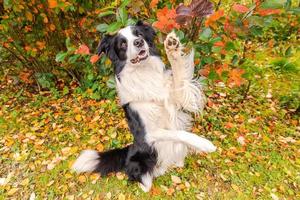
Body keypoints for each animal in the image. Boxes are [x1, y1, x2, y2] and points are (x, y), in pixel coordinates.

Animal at [73, 21, 218, 191]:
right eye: (123, 44)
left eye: (139, 34)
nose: (138, 42)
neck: (144, 73)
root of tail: (130, 149)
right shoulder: (149, 133)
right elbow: (178, 133)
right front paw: (204, 143)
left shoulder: (179, 100)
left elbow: (179, 78)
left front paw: (172, 48)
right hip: (139, 162)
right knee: (141, 178)